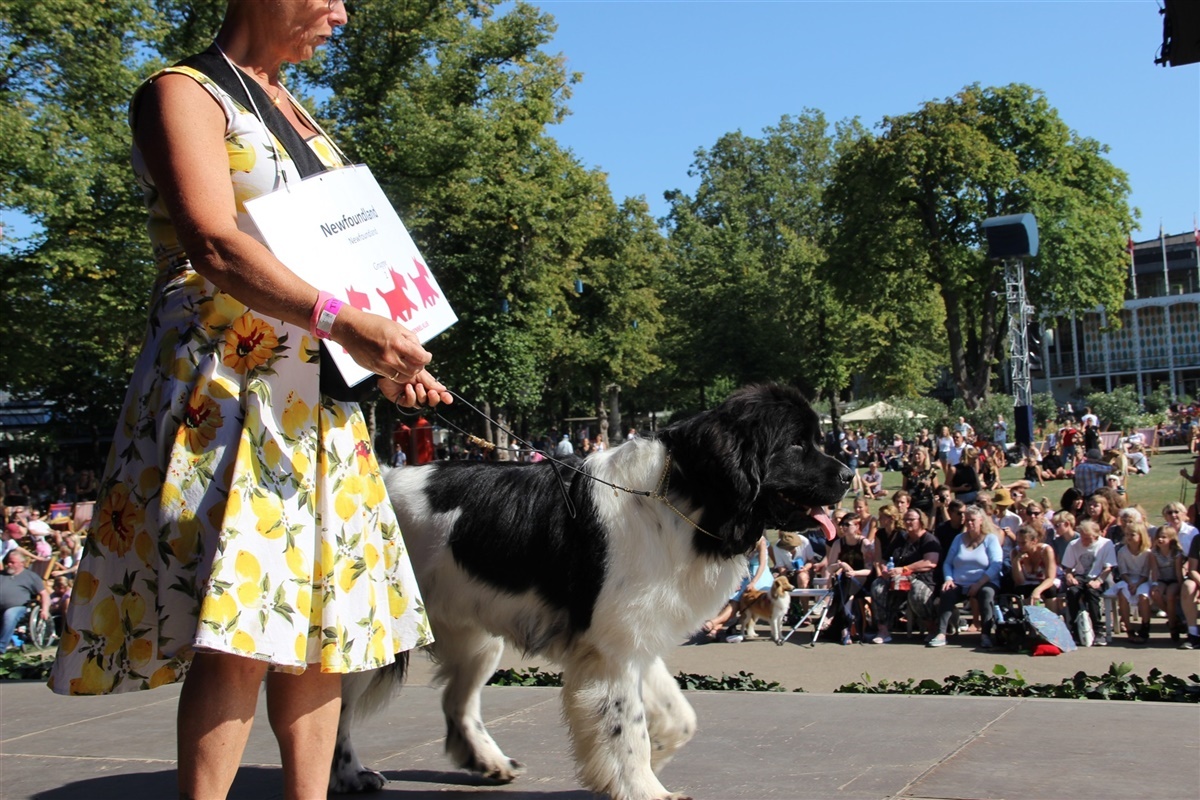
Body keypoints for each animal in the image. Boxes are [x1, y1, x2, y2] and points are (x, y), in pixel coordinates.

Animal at [333, 383, 849, 796]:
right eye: (797, 444)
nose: (847, 474)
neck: (685, 498)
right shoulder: (612, 652)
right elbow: (627, 728)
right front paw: (645, 789)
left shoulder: (631, 636)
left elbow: (678, 717)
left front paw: (656, 757)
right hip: (371, 637)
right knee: (338, 712)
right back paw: (351, 775)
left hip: (473, 633)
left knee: (458, 701)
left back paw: (488, 761)